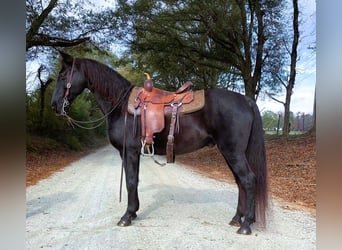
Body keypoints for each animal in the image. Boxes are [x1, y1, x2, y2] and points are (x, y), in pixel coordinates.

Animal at [51, 51, 268, 235]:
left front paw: (126, 216)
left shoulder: (129, 152)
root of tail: (246, 100)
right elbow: (135, 180)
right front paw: (133, 212)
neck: (121, 106)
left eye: (63, 76)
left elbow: (131, 181)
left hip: (233, 151)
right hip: (230, 152)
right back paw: (237, 218)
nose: (54, 105)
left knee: (248, 180)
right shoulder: (133, 153)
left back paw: (246, 225)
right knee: (240, 182)